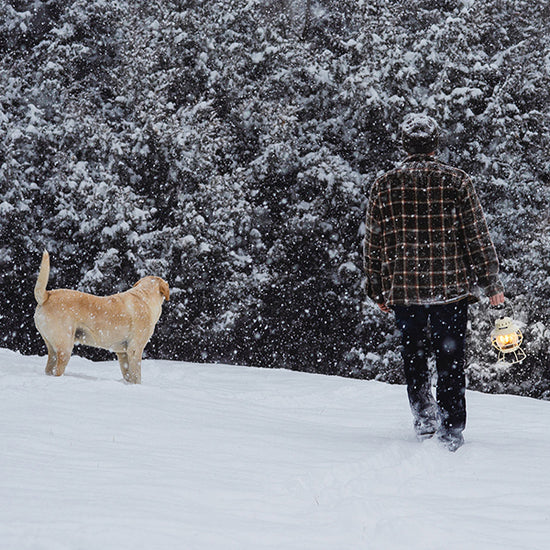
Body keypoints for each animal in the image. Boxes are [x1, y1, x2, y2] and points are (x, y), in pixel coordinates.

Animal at [33, 253, 169, 386]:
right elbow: (136, 376)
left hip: (52, 348)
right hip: (65, 347)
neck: (144, 297)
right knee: (58, 371)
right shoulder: (135, 349)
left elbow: (127, 374)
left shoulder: (123, 353)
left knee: (49, 368)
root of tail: (47, 295)